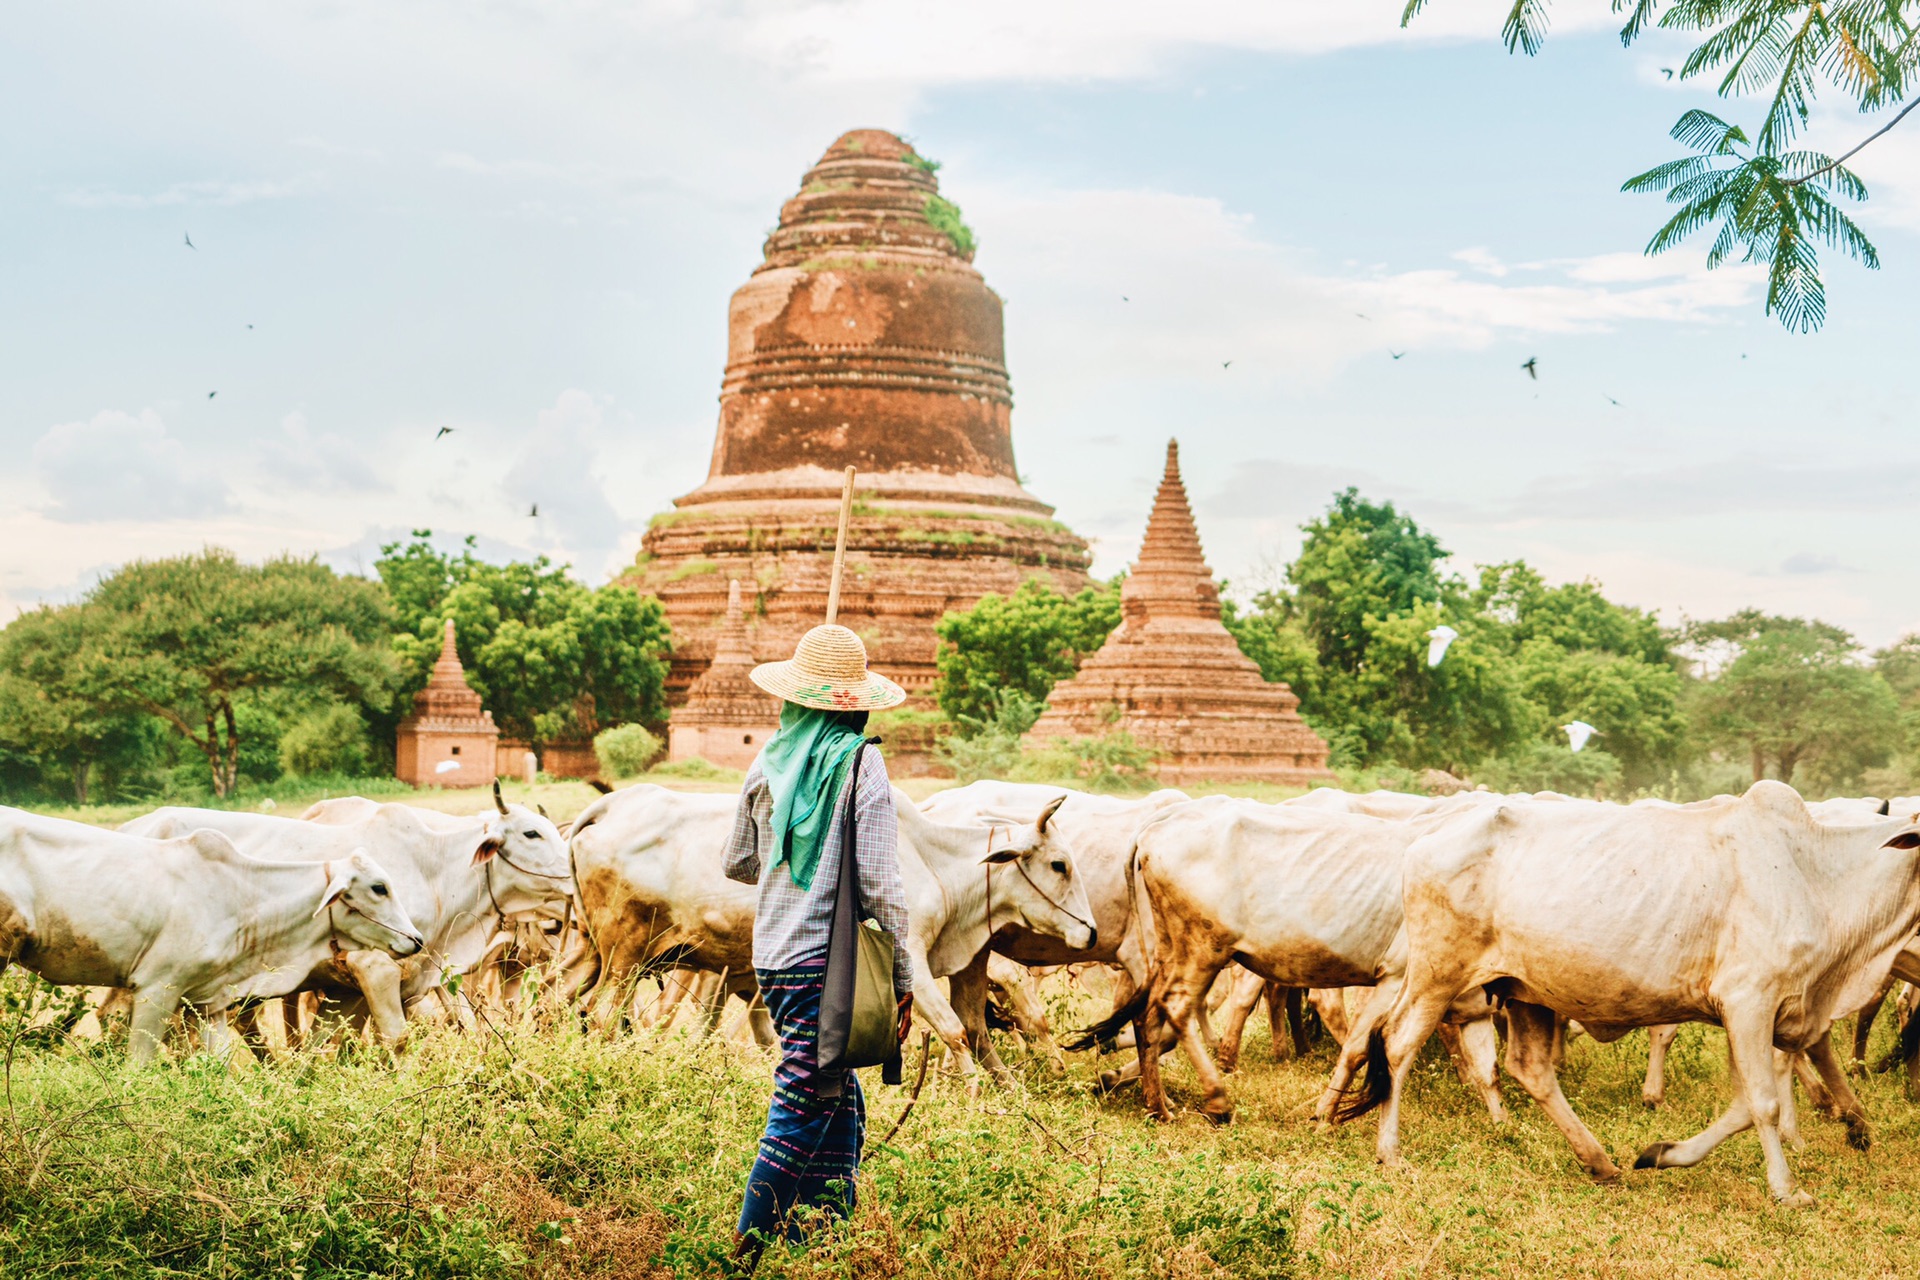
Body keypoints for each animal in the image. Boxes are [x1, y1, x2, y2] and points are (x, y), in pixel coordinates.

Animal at [0, 805, 420, 1066]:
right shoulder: (157, 988)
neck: (241, 894)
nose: (415, 940)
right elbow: (138, 1064)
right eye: (379, 887)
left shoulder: (207, 1003)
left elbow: (218, 1067)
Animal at [117, 786, 568, 1043]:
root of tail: (130, 827)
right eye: (531, 833)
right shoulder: (373, 967)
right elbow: (394, 1040)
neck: (433, 869)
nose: (572, 874)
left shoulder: (351, 988)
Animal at [564, 786, 1098, 1090]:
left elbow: (977, 1033)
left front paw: (1009, 1098)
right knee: (604, 1015)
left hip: (595, 952)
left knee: (567, 1002)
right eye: (1058, 864)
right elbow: (954, 1031)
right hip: (626, 954)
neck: (931, 860)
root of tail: (608, 807)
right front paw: (972, 1097)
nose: (1089, 932)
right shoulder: (911, 959)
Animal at [1344, 782, 1920, 1212]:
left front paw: (1662, 1153)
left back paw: (1600, 1161)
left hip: (1525, 990)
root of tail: (1424, 841)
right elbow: (1764, 1103)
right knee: (1397, 1044)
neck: (1819, 876)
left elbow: (1742, 1105)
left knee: (1529, 1067)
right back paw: (1390, 1153)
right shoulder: (1749, 1001)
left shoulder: (1757, 1015)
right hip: (1437, 973)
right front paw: (1786, 1190)